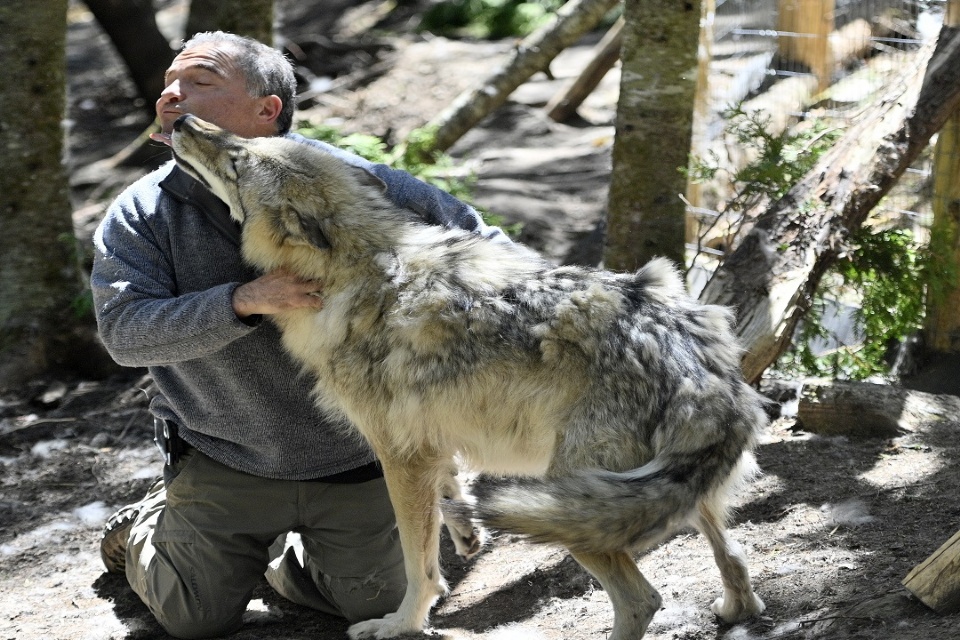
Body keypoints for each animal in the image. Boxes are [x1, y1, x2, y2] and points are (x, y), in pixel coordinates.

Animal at [172, 115, 768, 640]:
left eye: (238, 157)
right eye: (244, 143)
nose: (179, 120)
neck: (356, 270)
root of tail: (699, 365)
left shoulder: (399, 455)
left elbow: (418, 564)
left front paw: (400, 625)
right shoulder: (430, 441)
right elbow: (449, 492)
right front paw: (464, 529)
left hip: (579, 514)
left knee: (644, 599)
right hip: (668, 502)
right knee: (735, 558)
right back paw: (735, 609)